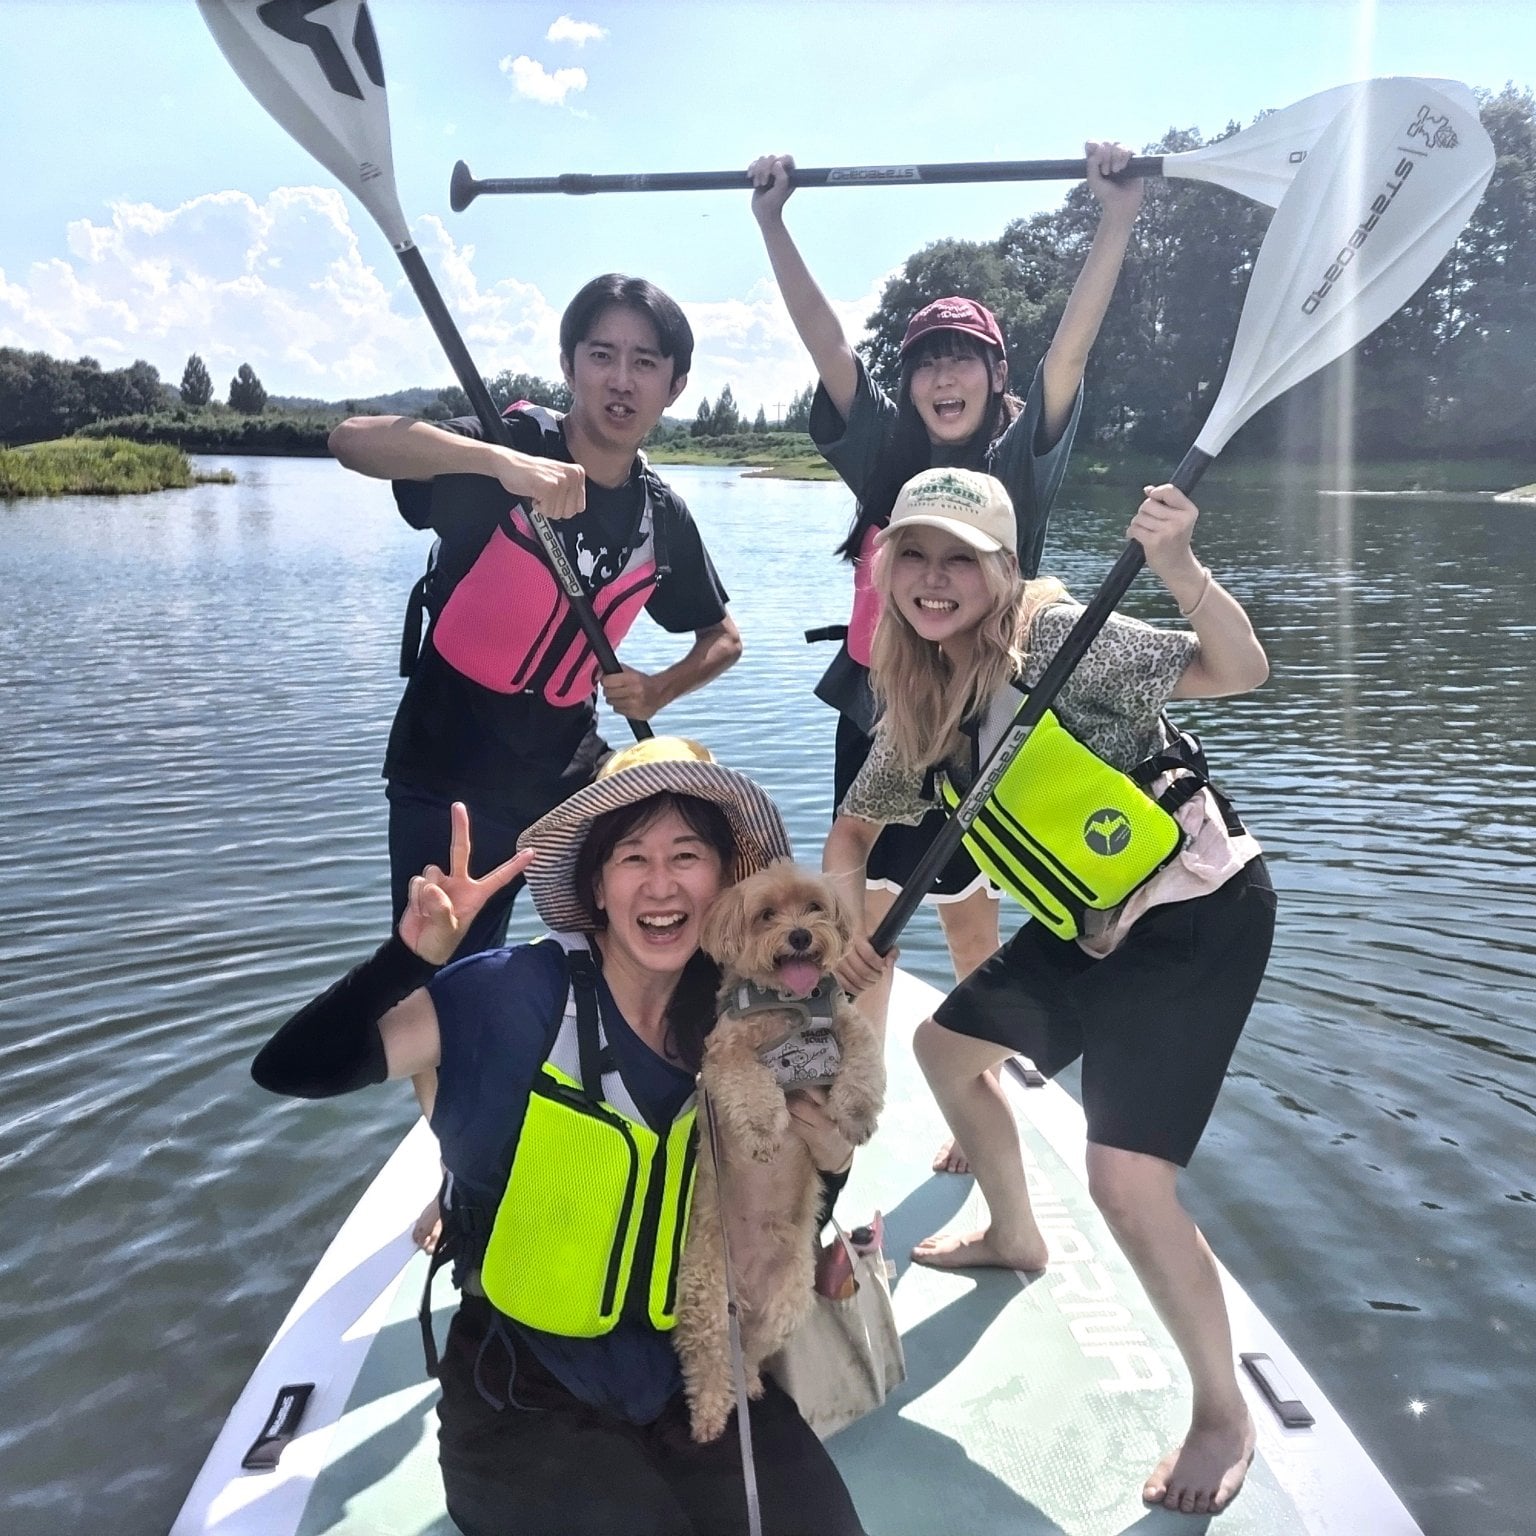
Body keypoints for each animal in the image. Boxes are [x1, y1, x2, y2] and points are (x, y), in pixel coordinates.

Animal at [674, 862, 886, 1443]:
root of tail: (744, 1292)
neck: (793, 1006)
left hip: (788, 1302)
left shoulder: (847, 1023)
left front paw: (856, 1113)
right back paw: (708, 1415)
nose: (800, 936)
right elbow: (750, 1085)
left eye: (814, 907)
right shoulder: (724, 1052)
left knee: (750, 1353)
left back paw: (747, 1385)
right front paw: (766, 1130)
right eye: (766, 914)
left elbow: (864, 1059)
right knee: (708, 1361)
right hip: (704, 1292)